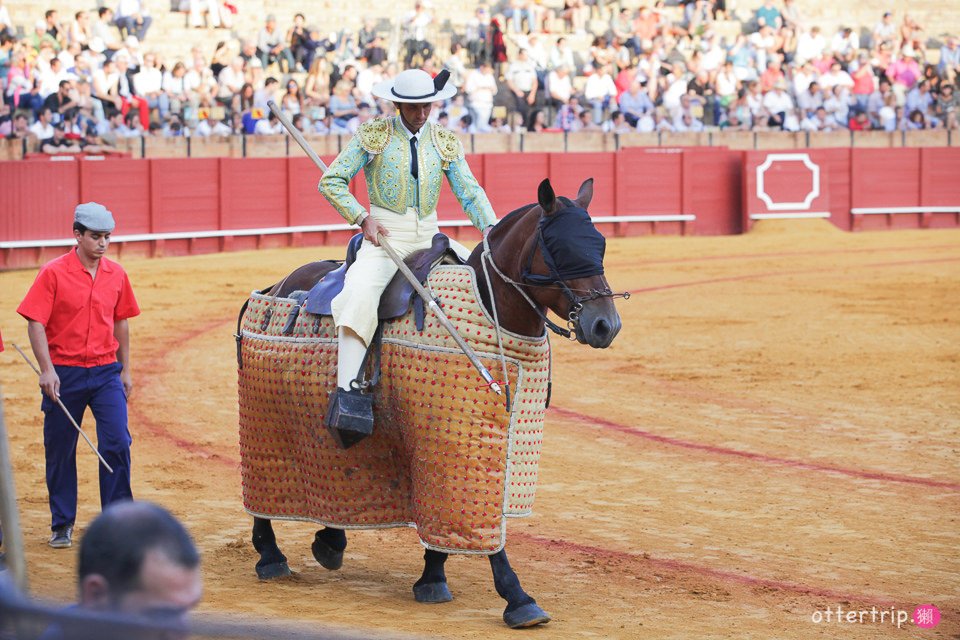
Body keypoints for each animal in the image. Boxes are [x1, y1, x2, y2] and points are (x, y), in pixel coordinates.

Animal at [244, 178, 628, 628]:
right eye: (559, 248)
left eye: (600, 244)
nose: (605, 325)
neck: (491, 306)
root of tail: (277, 286)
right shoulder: (457, 442)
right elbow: (477, 520)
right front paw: (518, 599)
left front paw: (432, 577)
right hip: (265, 415)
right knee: (265, 478)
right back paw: (271, 556)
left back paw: (330, 541)